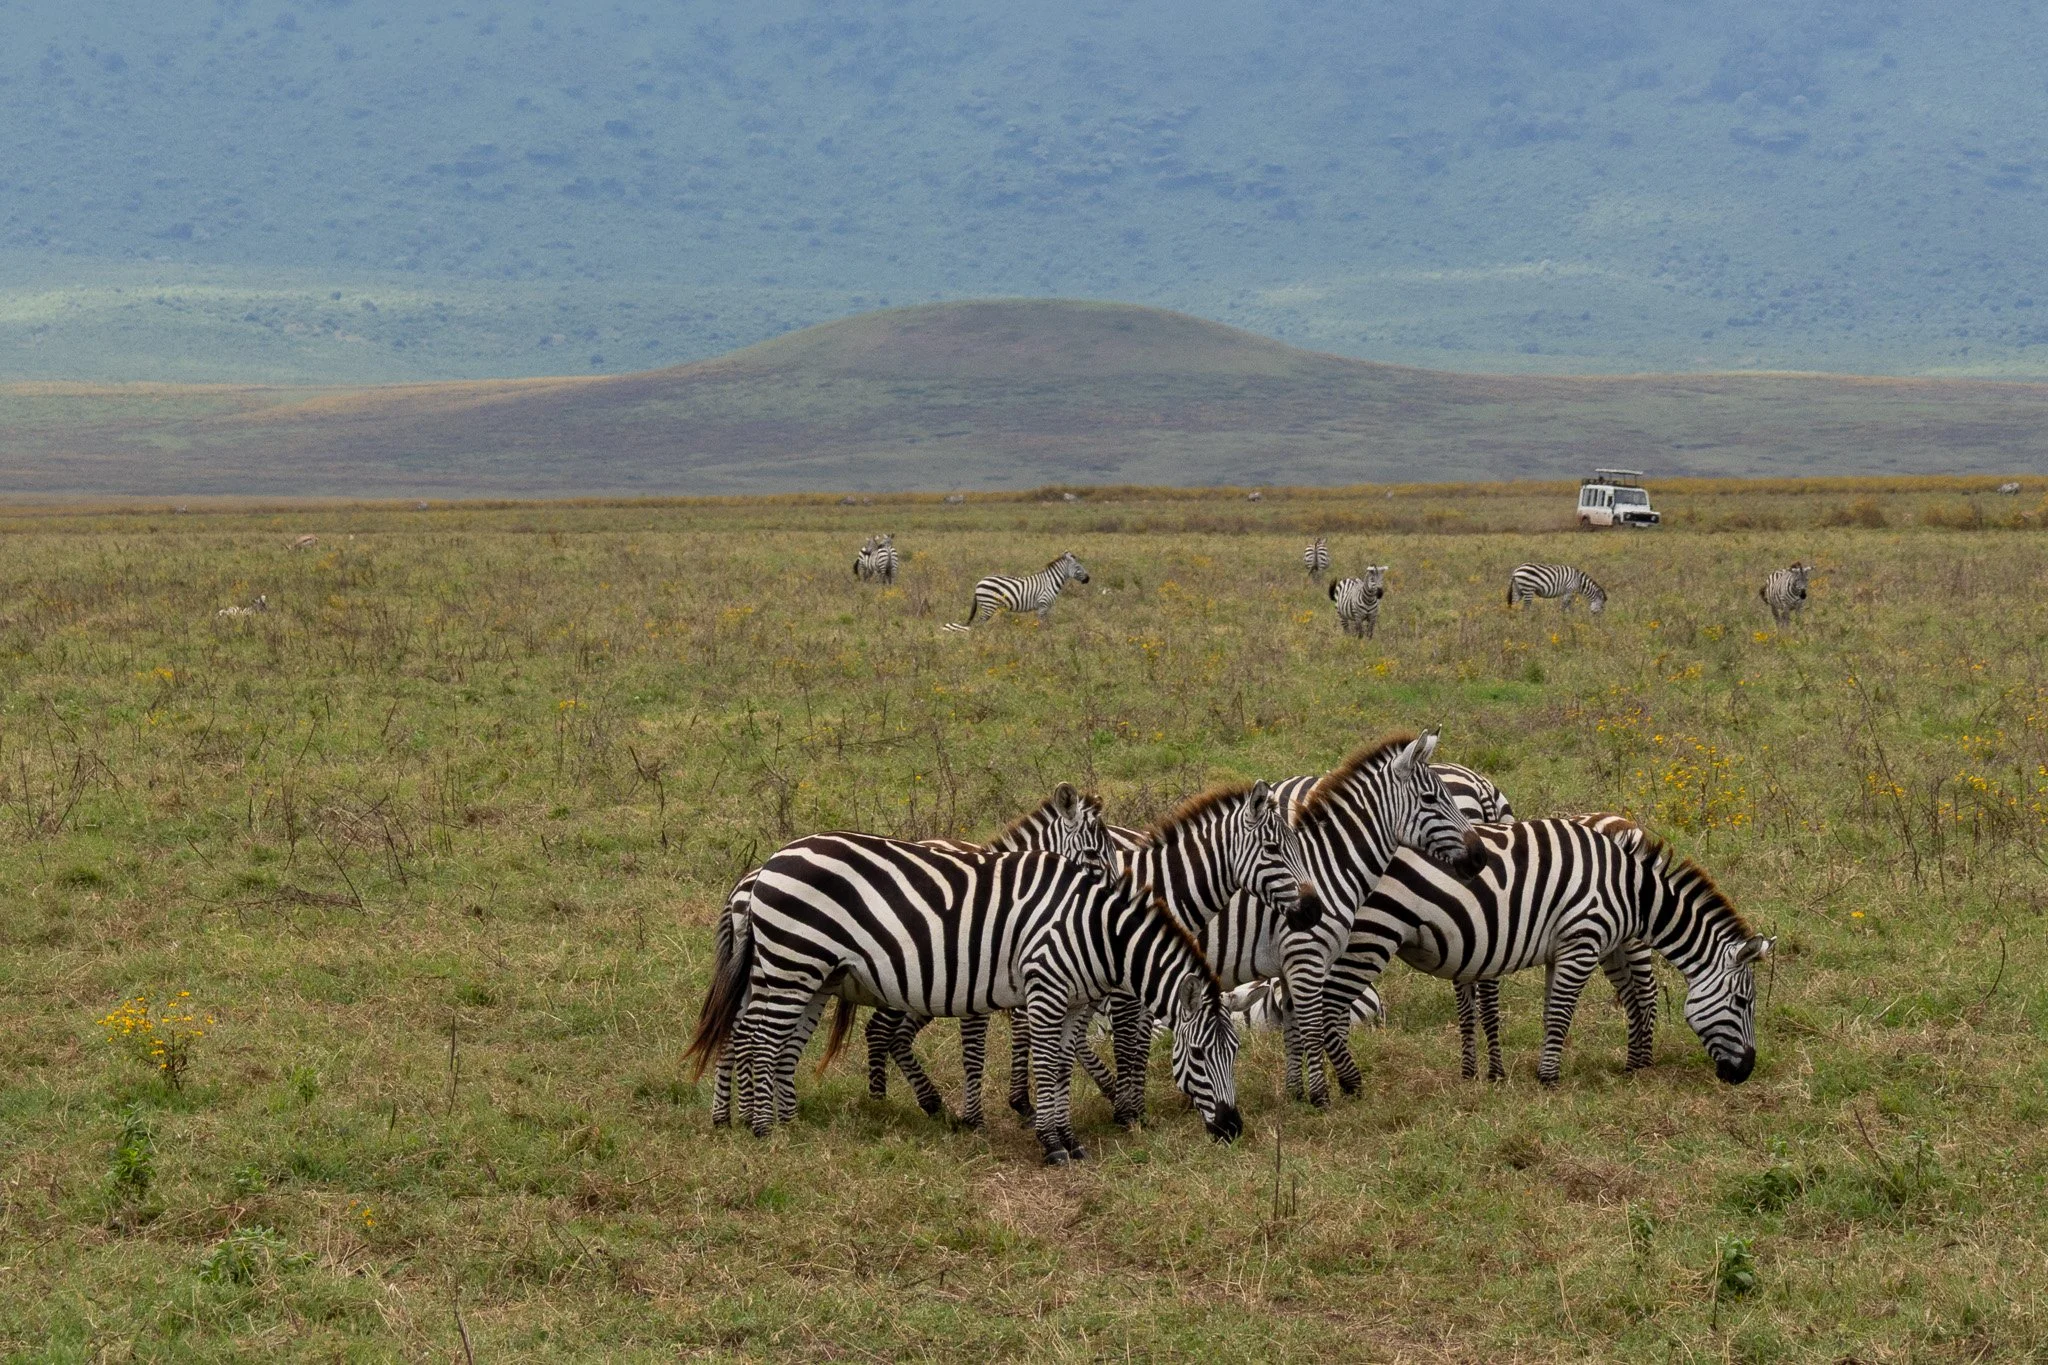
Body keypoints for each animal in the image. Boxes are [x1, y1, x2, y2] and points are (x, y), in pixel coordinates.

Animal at [686, 835, 1249, 1162]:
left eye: (1235, 1053)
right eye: (1198, 1054)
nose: (1233, 1129)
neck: (1095, 930)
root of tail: (768, 864)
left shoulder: (1071, 1002)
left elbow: (1063, 1068)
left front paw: (1068, 1139)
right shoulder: (1046, 990)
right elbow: (1048, 1065)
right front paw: (1051, 1144)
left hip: (809, 973)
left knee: (770, 1040)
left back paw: (780, 1122)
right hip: (790, 961)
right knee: (758, 1038)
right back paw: (762, 1131)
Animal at [941, 552, 1089, 632]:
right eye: (1078, 567)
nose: (1088, 579)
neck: (1050, 581)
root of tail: (979, 583)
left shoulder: (1046, 608)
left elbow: (1047, 625)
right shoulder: (1043, 605)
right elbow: (1042, 625)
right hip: (988, 605)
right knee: (979, 624)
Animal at [1322, 818, 1771, 1085]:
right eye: (1743, 1002)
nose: (1745, 1072)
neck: (1631, 889)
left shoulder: (1563, 950)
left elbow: (1550, 1012)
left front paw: (1546, 1068)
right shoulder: (1583, 940)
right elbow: (1560, 1013)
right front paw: (1549, 1078)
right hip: (1372, 933)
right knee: (1328, 1007)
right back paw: (1344, 1084)